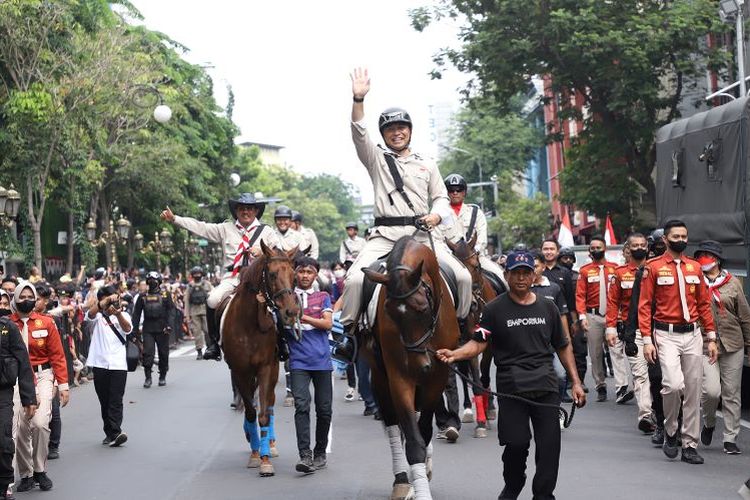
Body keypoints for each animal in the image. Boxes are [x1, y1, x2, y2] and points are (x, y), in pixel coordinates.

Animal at [223, 241, 302, 476]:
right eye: (273, 274)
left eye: (294, 276)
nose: (291, 312)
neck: (250, 324)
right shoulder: (240, 371)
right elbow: (250, 412)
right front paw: (255, 453)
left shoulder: (266, 367)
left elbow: (264, 413)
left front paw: (265, 459)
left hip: (273, 369)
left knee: (270, 404)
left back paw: (271, 444)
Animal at [362, 235, 462, 500]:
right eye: (390, 312)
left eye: (422, 307)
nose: (420, 365)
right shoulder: (399, 376)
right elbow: (413, 439)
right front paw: (417, 487)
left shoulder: (438, 375)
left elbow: (423, 431)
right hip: (381, 377)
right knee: (393, 425)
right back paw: (402, 481)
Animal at [446, 234, 500, 434]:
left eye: (476, 266)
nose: (472, 304)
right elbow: (471, 377)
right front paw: (479, 420)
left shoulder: (489, 345)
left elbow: (483, 375)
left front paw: (487, 412)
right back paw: (469, 409)